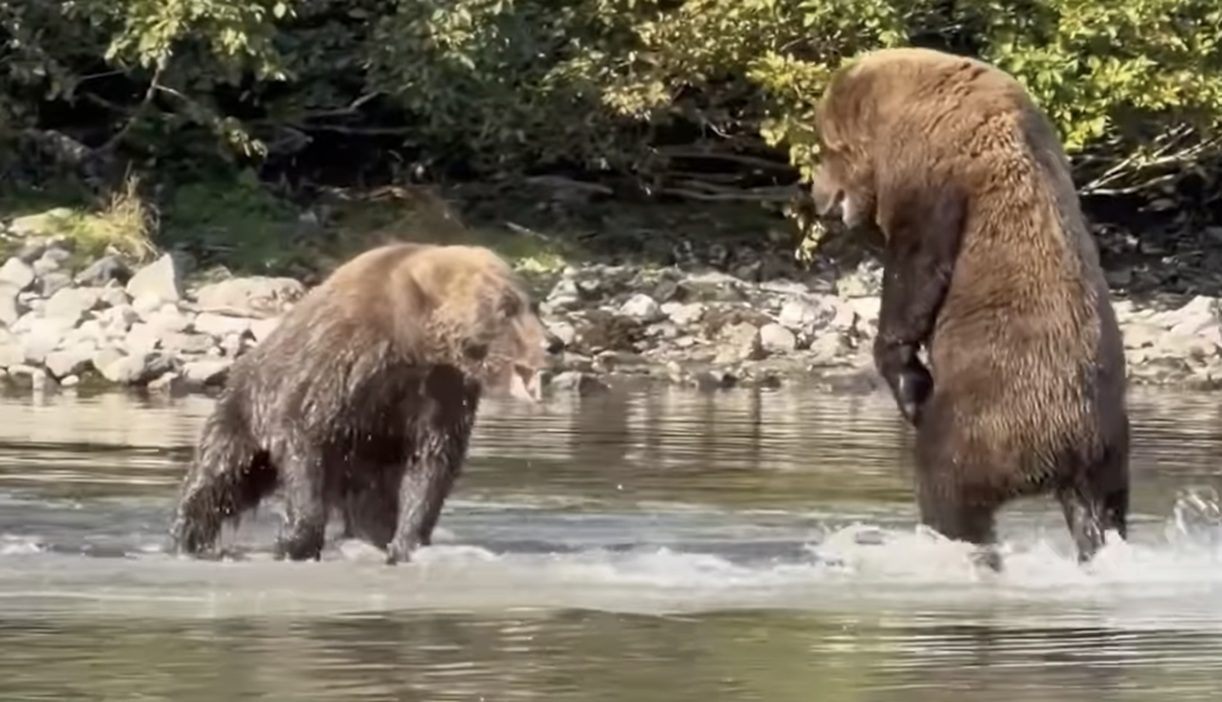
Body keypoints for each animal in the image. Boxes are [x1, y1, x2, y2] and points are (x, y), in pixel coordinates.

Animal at [168, 242, 562, 564]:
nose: (554, 344)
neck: (412, 341)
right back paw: (187, 536)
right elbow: (304, 438)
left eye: (533, 304)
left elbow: (433, 461)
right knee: (221, 478)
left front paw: (408, 542)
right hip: (248, 409)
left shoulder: (440, 390)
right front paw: (294, 541)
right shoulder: (339, 367)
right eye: (505, 307)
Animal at [807, 47, 1130, 566]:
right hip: (1106, 454)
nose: (820, 197)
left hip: (992, 414)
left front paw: (907, 376)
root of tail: (1066, 446)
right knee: (1101, 513)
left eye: (826, 145)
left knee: (946, 481)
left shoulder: (935, 172)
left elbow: (917, 269)